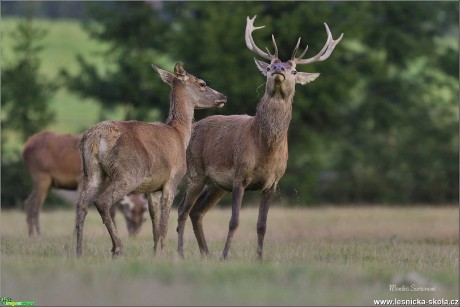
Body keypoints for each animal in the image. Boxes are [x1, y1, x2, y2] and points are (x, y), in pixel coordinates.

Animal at [75, 62, 226, 258]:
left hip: (91, 171)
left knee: (81, 205)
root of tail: (96, 135)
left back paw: (79, 251)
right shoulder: (172, 180)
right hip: (128, 173)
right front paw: (163, 253)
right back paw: (117, 248)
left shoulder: (152, 188)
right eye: (202, 83)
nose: (223, 97)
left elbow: (154, 221)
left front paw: (154, 253)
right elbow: (164, 221)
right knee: (102, 201)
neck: (179, 134)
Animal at [178, 15, 344, 260]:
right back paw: (181, 253)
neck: (266, 149)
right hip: (195, 172)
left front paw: (259, 257)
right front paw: (225, 255)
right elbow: (234, 221)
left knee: (197, 211)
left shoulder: (272, 183)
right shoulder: (239, 175)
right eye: (269, 66)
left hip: (216, 184)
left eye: (294, 71)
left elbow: (262, 225)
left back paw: (206, 254)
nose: (278, 68)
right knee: (182, 210)